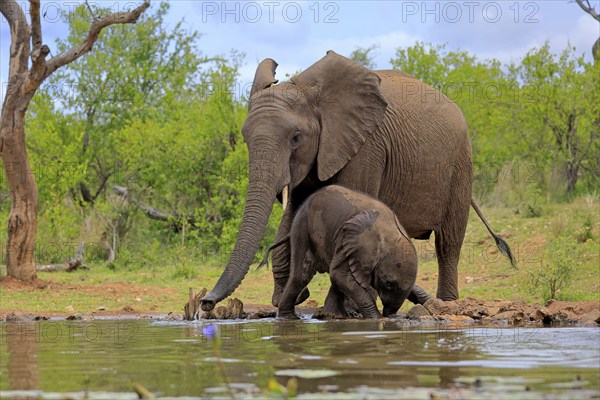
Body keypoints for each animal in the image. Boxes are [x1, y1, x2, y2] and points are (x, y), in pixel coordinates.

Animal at [270, 184, 420, 318]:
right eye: (387, 284)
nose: (391, 316)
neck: (390, 234)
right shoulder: (351, 242)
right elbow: (339, 275)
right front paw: (376, 318)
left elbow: (340, 277)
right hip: (302, 228)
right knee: (302, 275)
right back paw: (289, 318)